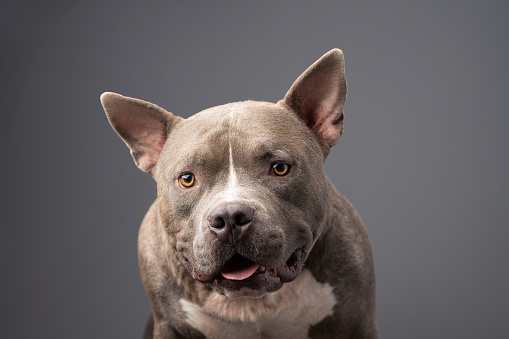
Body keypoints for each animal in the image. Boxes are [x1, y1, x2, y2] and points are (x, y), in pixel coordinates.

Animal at [100, 48, 378, 339]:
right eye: (187, 179)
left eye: (280, 168)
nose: (230, 217)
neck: (254, 305)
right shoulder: (168, 325)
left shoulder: (357, 323)